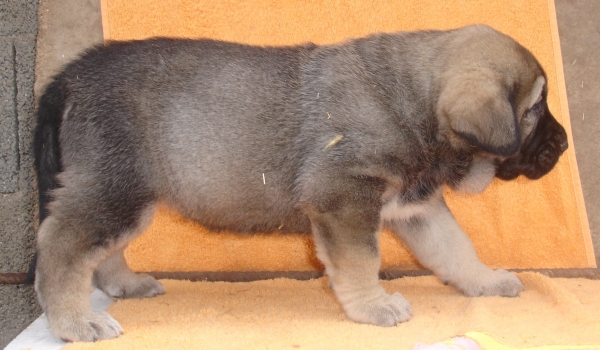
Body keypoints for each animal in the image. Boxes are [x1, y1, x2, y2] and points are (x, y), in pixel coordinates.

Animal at [32, 25, 568, 342]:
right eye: (535, 108)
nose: (563, 145)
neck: (412, 100)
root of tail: (71, 75)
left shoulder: (418, 207)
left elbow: (456, 249)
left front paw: (485, 281)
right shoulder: (345, 200)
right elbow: (362, 261)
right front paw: (373, 307)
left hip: (124, 192)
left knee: (102, 250)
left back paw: (123, 284)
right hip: (115, 187)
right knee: (61, 245)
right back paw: (76, 321)